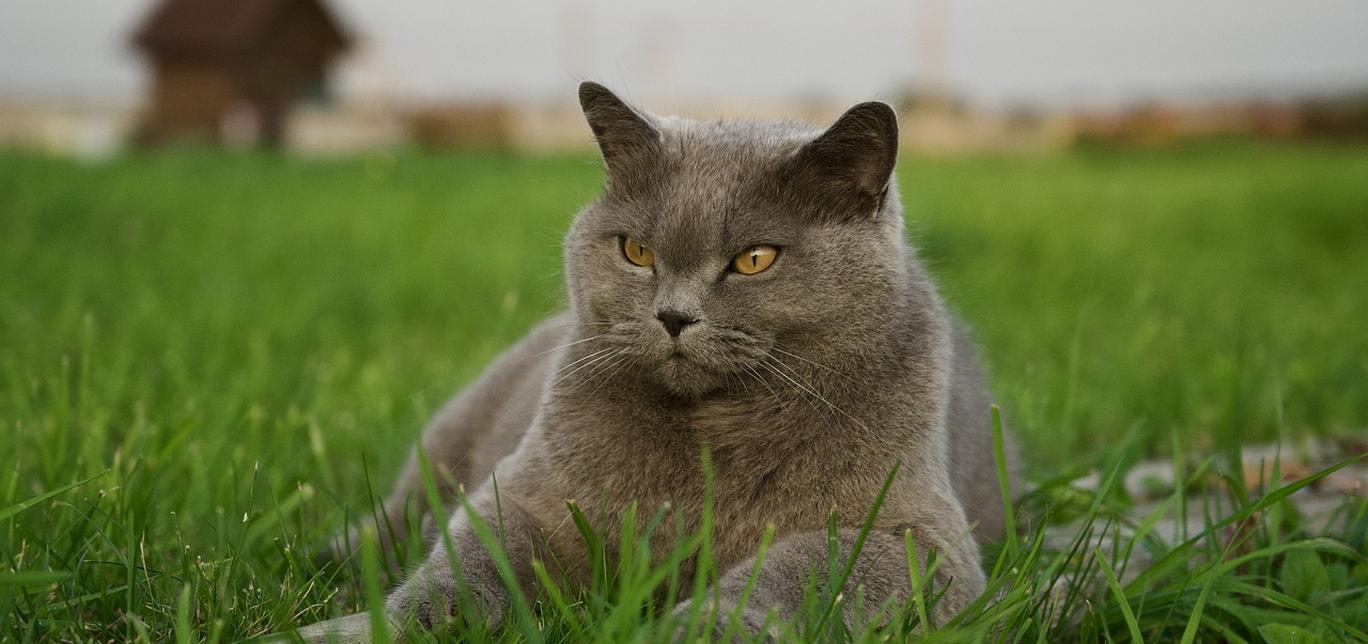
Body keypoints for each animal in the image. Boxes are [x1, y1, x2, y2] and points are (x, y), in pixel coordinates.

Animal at [305, 83, 1023, 642]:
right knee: (399, 514)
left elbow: (799, 573)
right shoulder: (532, 492)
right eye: (636, 251)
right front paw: (375, 627)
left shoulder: (915, 535)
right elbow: (466, 564)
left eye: (755, 259)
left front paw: (698, 627)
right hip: (450, 439)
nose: (673, 316)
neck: (710, 432)